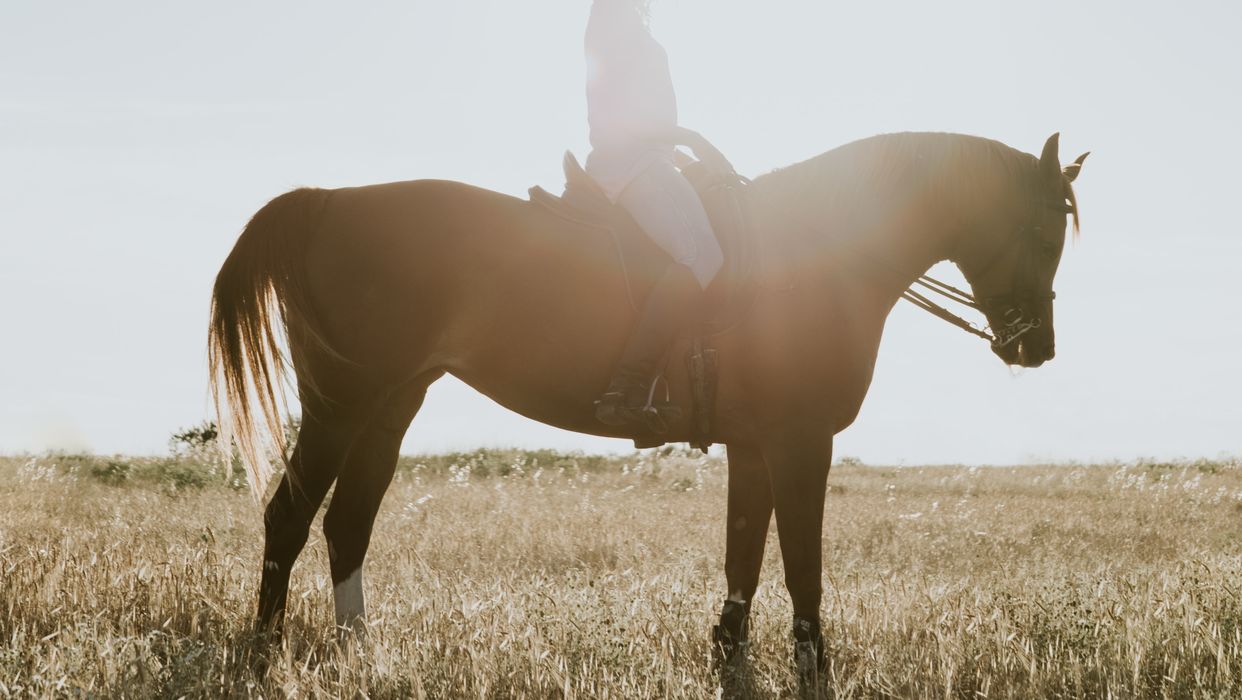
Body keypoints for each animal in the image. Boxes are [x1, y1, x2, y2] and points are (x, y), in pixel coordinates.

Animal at [208, 128, 1083, 680]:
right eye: (1045, 233)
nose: (1035, 347)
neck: (816, 250)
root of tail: (328, 200)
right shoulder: (800, 441)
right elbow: (802, 564)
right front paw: (813, 666)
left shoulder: (755, 445)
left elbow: (744, 554)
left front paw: (729, 654)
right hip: (341, 405)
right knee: (289, 516)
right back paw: (265, 650)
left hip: (390, 406)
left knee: (347, 521)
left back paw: (360, 651)